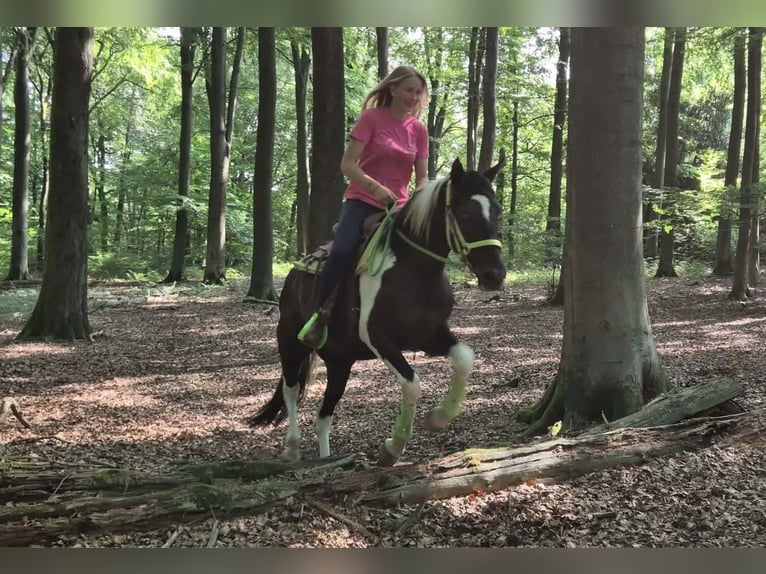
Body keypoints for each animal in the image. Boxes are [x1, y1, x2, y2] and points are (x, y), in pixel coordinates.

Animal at [248, 158, 506, 466]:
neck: (414, 271)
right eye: (465, 211)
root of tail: (296, 271)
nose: (494, 275)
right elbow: (412, 383)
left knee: (323, 416)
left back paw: (326, 459)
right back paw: (292, 447)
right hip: (289, 339)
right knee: (291, 389)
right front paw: (392, 448)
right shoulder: (379, 338)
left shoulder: (430, 335)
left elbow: (465, 359)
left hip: (340, 362)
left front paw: (437, 419)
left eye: (497, 210)